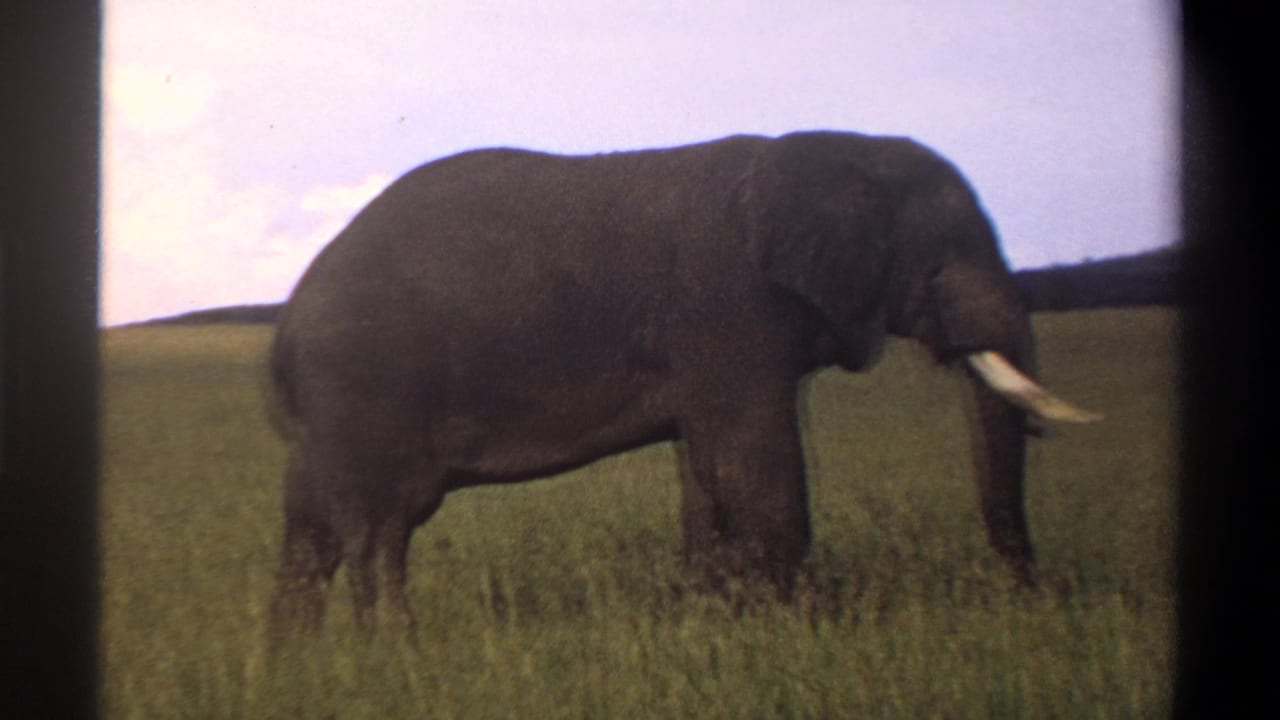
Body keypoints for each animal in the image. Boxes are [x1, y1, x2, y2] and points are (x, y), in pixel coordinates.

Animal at [266, 130, 1099, 635]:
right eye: (945, 256)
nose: (1037, 600)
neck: (832, 149)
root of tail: (288, 320)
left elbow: (709, 474)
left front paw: (714, 621)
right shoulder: (731, 307)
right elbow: (757, 466)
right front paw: (803, 632)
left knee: (312, 534)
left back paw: (300, 662)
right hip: (365, 386)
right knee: (380, 531)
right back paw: (395, 652)